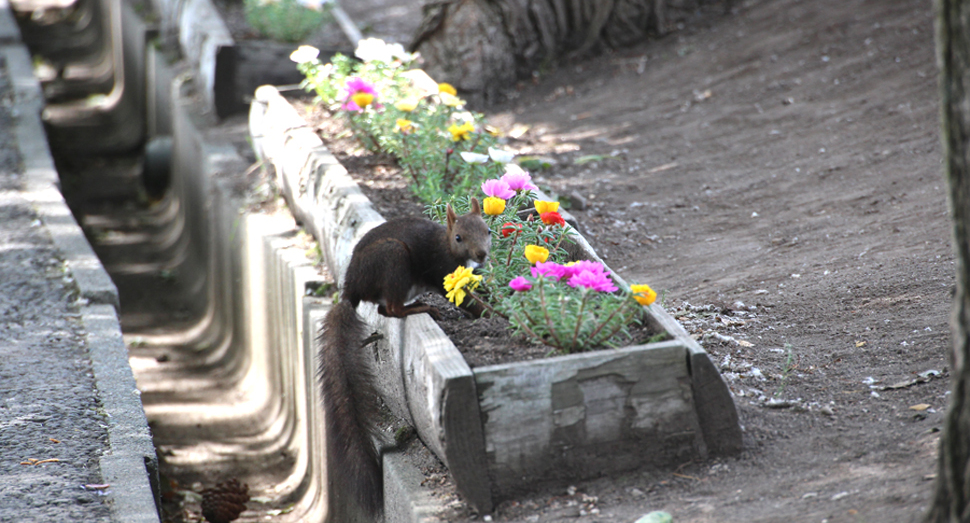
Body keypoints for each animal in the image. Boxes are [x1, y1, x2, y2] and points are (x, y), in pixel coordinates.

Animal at [316, 198, 488, 520]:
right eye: (459, 237)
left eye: (488, 230)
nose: (482, 254)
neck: (447, 246)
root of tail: (352, 289)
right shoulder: (440, 273)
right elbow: (467, 301)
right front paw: (496, 313)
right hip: (392, 260)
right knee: (393, 309)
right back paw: (421, 308)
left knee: (385, 310)